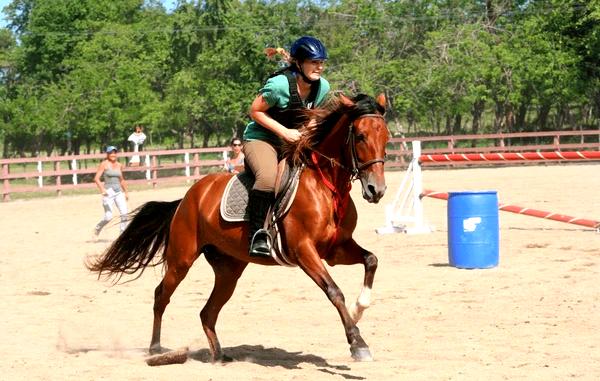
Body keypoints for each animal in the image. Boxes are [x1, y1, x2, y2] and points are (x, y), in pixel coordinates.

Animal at [88, 91, 390, 360]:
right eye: (360, 136)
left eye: (386, 137)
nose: (376, 190)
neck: (325, 185)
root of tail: (188, 197)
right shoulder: (304, 251)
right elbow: (334, 291)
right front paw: (358, 343)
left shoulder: (335, 249)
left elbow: (371, 260)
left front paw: (359, 308)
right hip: (181, 258)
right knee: (162, 295)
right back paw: (155, 348)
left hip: (229, 270)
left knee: (207, 312)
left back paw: (218, 355)